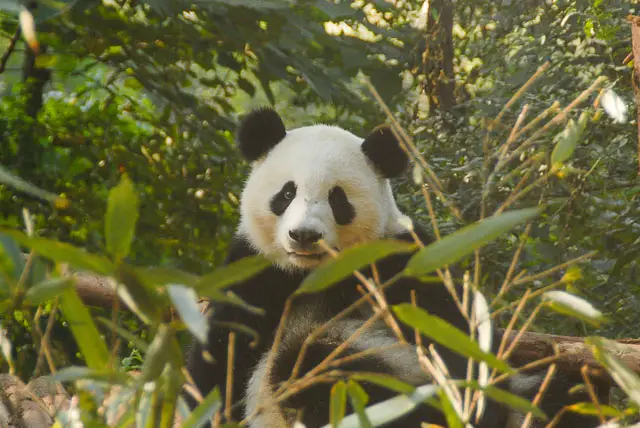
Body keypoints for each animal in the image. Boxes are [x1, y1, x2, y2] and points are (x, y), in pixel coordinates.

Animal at [185, 108, 604, 428]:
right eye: (287, 193)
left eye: (337, 199)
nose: (304, 235)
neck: (316, 275)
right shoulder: (255, 273)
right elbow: (220, 359)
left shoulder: (403, 261)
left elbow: (459, 340)